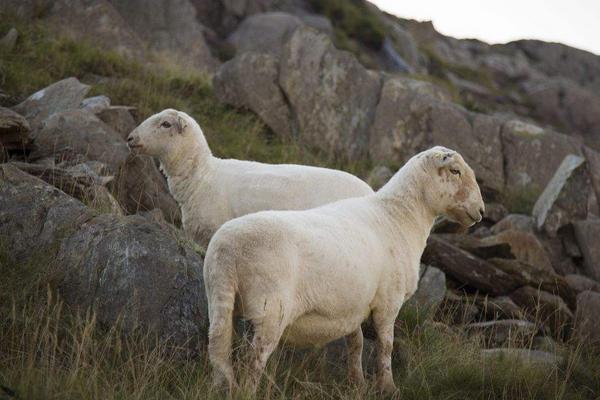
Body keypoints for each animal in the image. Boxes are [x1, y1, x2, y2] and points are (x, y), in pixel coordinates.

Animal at [204, 146, 486, 394]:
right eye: (455, 171)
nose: (481, 211)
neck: (399, 217)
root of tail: (228, 251)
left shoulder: (354, 305)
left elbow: (356, 343)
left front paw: (357, 383)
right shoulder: (388, 301)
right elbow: (385, 346)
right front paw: (388, 388)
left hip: (219, 298)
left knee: (218, 346)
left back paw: (221, 387)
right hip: (270, 309)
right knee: (253, 360)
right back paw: (246, 391)